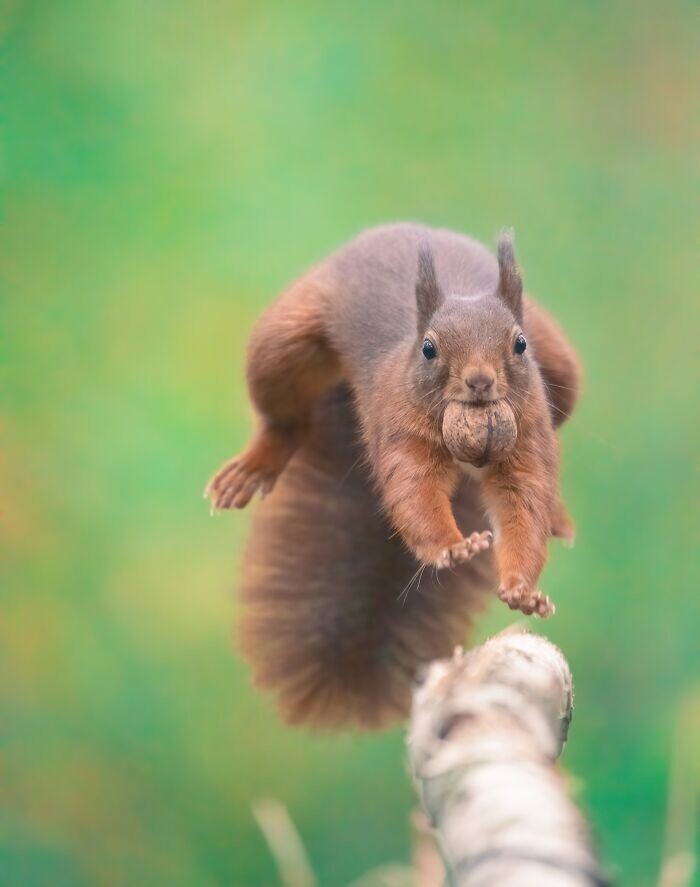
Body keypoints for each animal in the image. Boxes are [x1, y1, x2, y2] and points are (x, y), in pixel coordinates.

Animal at [204, 225, 580, 732]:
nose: (480, 381)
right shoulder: (400, 429)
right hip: (282, 341)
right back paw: (253, 465)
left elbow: (524, 503)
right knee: (285, 419)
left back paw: (559, 514)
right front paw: (451, 547)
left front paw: (522, 589)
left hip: (562, 369)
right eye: (429, 348)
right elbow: (414, 491)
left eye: (519, 345)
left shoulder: (528, 435)